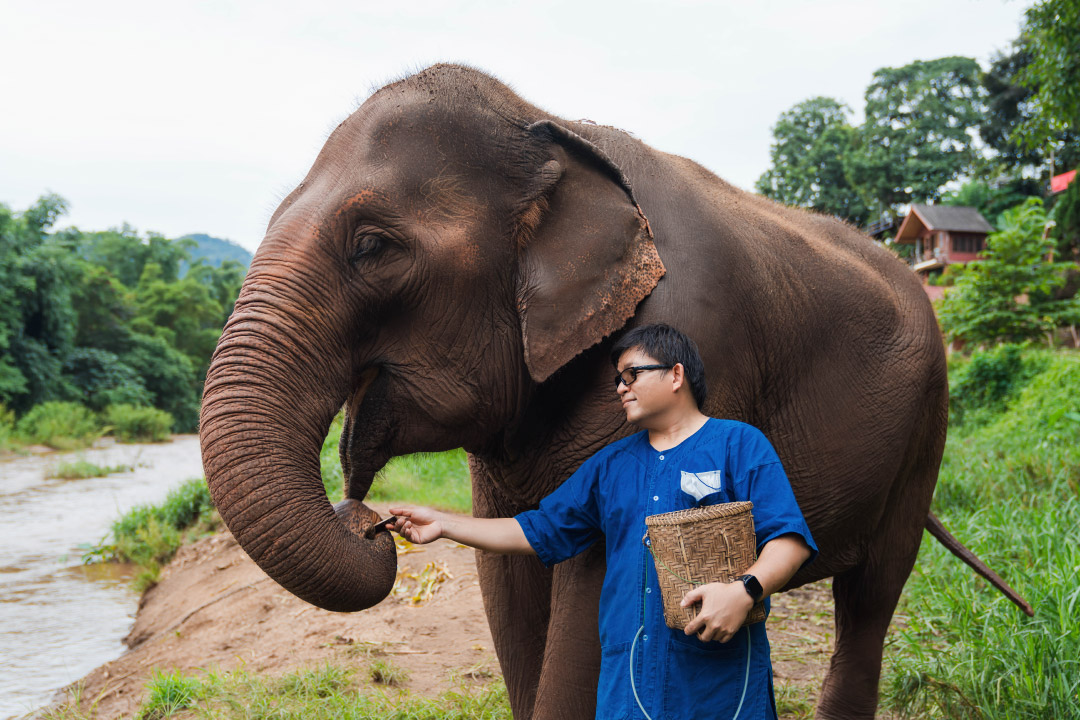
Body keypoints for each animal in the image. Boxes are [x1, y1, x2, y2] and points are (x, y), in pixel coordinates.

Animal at [198, 63, 1032, 720]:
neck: (547, 124)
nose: (373, 523)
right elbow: (513, 573)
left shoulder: (697, 331)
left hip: (925, 431)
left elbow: (593, 586)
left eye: (373, 246)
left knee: (871, 596)